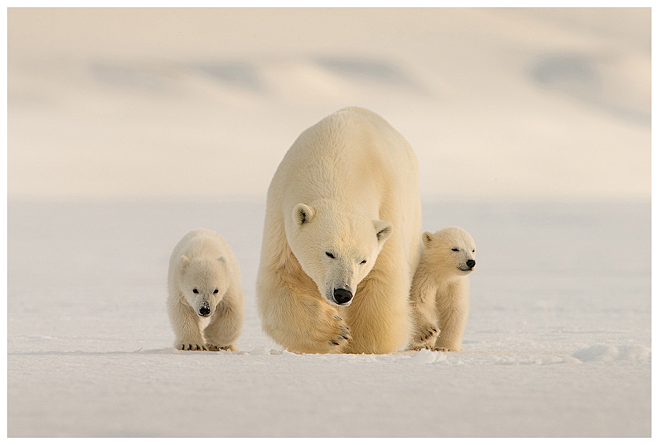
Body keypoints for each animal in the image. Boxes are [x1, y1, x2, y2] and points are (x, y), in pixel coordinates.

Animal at [256, 106, 420, 354]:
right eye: (329, 253)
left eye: (363, 260)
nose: (342, 293)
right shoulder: (281, 210)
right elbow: (281, 277)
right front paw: (334, 332)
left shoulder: (387, 204)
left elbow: (383, 277)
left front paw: (359, 345)